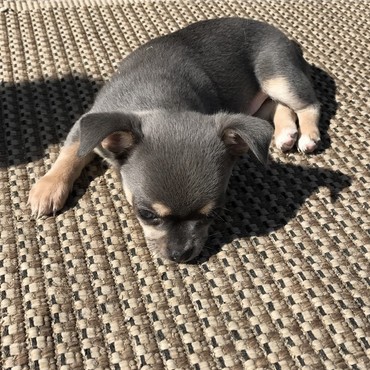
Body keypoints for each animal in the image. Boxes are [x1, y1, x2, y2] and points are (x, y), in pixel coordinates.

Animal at [29, 18, 320, 264]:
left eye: (212, 214)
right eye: (146, 214)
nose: (181, 254)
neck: (157, 99)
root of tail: (286, 39)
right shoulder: (87, 123)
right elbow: (72, 152)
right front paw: (49, 187)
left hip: (277, 76)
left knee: (308, 104)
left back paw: (308, 136)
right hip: (261, 100)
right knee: (280, 107)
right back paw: (285, 133)